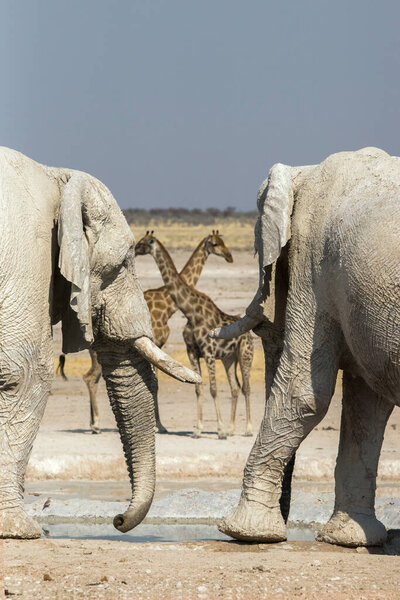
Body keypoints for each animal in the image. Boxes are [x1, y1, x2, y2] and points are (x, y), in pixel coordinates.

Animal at [0, 148, 200, 540]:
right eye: (122, 263)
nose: (118, 520)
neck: (57, 177)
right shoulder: (27, 256)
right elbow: (25, 375)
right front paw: (21, 530)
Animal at [59, 229, 234, 432]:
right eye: (215, 244)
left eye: (222, 242)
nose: (229, 256)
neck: (167, 304)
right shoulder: (156, 343)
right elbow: (155, 384)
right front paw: (160, 425)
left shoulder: (160, 346)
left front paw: (159, 424)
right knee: (90, 378)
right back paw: (95, 424)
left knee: (90, 377)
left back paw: (93, 422)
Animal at [134, 232, 253, 438]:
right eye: (215, 244)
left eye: (143, 242)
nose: (229, 256)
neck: (189, 311)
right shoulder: (192, 351)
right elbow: (198, 387)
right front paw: (199, 429)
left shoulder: (208, 351)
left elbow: (212, 388)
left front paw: (219, 429)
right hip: (230, 358)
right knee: (235, 387)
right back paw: (232, 429)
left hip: (244, 355)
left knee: (245, 387)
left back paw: (247, 429)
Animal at [211, 146, 398, 548]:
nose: (283, 534)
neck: (304, 171)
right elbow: (368, 407)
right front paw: (348, 539)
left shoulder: (314, 263)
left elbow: (305, 393)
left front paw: (243, 532)